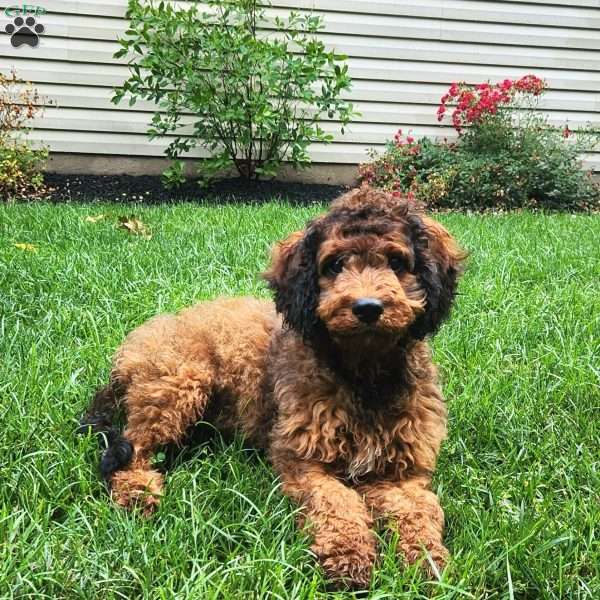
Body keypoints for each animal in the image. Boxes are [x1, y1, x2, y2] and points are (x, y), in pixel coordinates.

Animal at [81, 185, 464, 588]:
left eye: (396, 261)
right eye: (334, 265)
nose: (368, 308)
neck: (363, 375)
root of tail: (129, 350)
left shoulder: (403, 473)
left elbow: (419, 512)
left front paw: (427, 562)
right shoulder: (303, 461)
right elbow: (336, 502)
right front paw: (349, 556)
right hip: (178, 383)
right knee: (130, 450)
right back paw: (139, 493)